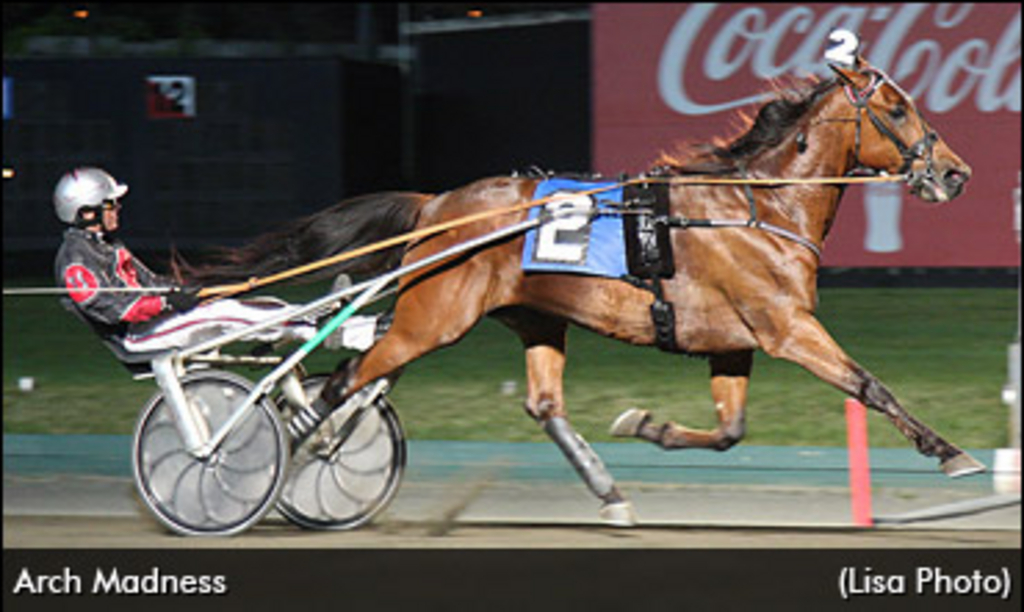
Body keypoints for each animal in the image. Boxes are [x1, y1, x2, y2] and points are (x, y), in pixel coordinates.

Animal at [182, 58, 974, 528]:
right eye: (896, 108)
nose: (956, 172)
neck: (757, 207)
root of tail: (439, 204)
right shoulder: (786, 327)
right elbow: (868, 384)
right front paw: (948, 451)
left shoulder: (733, 342)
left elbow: (729, 431)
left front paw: (646, 424)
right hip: (429, 319)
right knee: (341, 382)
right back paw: (252, 461)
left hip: (528, 318)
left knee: (535, 403)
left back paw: (610, 493)